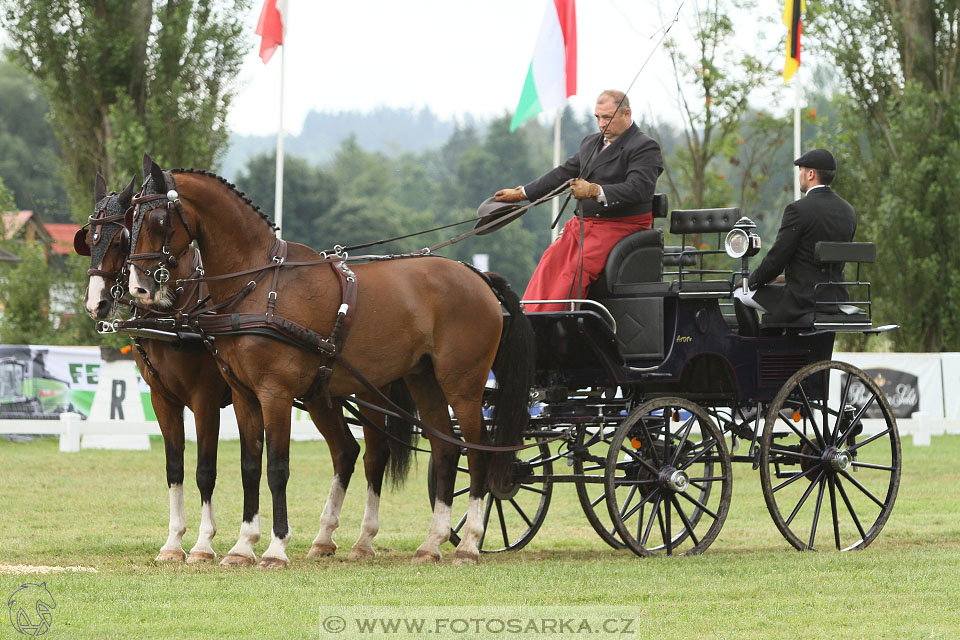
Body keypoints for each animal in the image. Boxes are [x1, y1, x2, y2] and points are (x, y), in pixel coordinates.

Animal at [79, 174, 416, 564]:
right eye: (89, 237)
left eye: (122, 236)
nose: (97, 303)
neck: (181, 309)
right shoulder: (163, 398)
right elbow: (175, 468)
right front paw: (174, 543)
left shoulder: (206, 399)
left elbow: (206, 470)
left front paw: (204, 544)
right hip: (321, 394)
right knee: (345, 451)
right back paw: (324, 538)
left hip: (367, 390)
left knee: (376, 455)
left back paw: (364, 539)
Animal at [124, 158, 536, 568]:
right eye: (130, 217)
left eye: (157, 219)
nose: (139, 288)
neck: (260, 283)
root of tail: (477, 275)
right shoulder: (243, 395)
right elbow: (249, 466)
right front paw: (243, 547)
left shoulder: (272, 393)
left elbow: (276, 468)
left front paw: (274, 548)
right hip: (422, 380)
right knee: (444, 448)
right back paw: (430, 543)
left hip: (461, 384)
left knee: (475, 451)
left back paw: (468, 543)